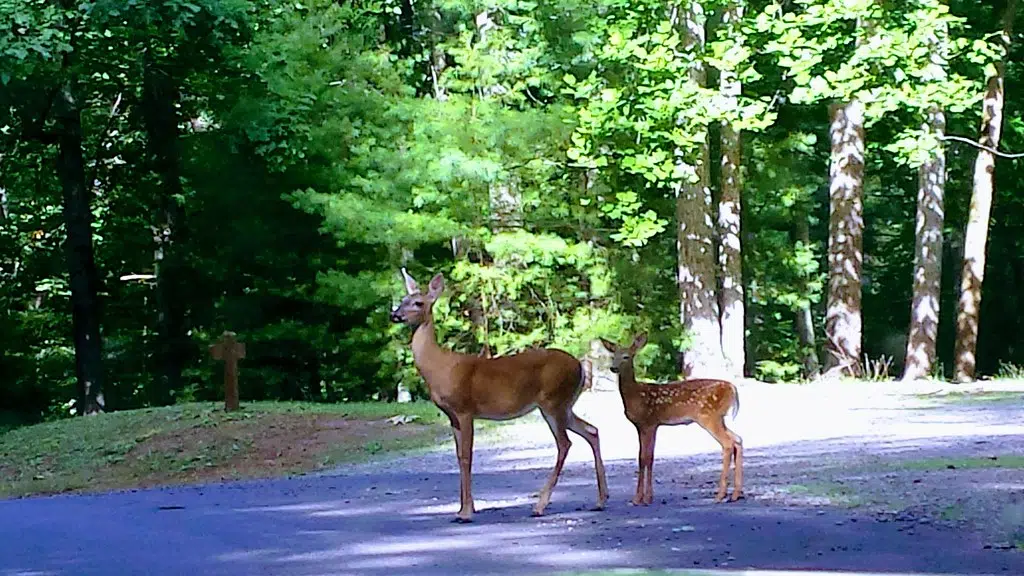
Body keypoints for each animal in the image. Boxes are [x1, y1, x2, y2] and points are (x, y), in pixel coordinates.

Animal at [387, 268, 602, 520]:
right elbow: (458, 457)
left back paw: (539, 505)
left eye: (418, 303)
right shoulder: (452, 416)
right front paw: (465, 507)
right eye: (403, 299)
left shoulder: (465, 409)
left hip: (552, 400)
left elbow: (467, 457)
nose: (395, 315)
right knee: (592, 431)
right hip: (564, 404)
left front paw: (466, 513)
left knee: (565, 443)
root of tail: (580, 367)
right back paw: (600, 500)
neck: (439, 368)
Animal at [598, 332, 745, 502]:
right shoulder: (646, 425)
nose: (613, 367)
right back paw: (735, 494)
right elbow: (645, 458)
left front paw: (642, 499)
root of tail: (732, 388)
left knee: (728, 443)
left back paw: (720, 494)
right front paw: (643, 497)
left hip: (709, 416)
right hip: (719, 418)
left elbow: (645, 457)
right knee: (737, 439)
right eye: (613, 356)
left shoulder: (649, 422)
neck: (635, 396)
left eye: (626, 356)